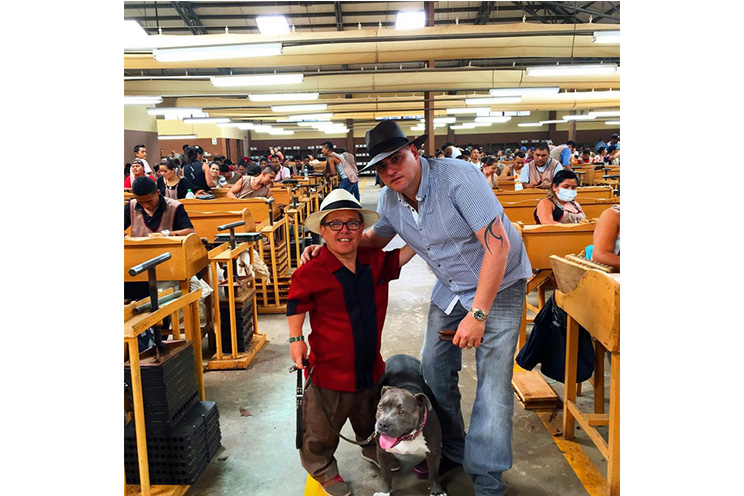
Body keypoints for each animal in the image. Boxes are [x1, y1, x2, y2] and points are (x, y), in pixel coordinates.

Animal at [374, 354, 447, 496]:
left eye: (402, 412)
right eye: (380, 407)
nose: (383, 424)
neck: (408, 437)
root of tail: (400, 355)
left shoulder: (434, 452)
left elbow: (434, 474)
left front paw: (437, 491)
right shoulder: (381, 452)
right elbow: (385, 475)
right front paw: (384, 491)